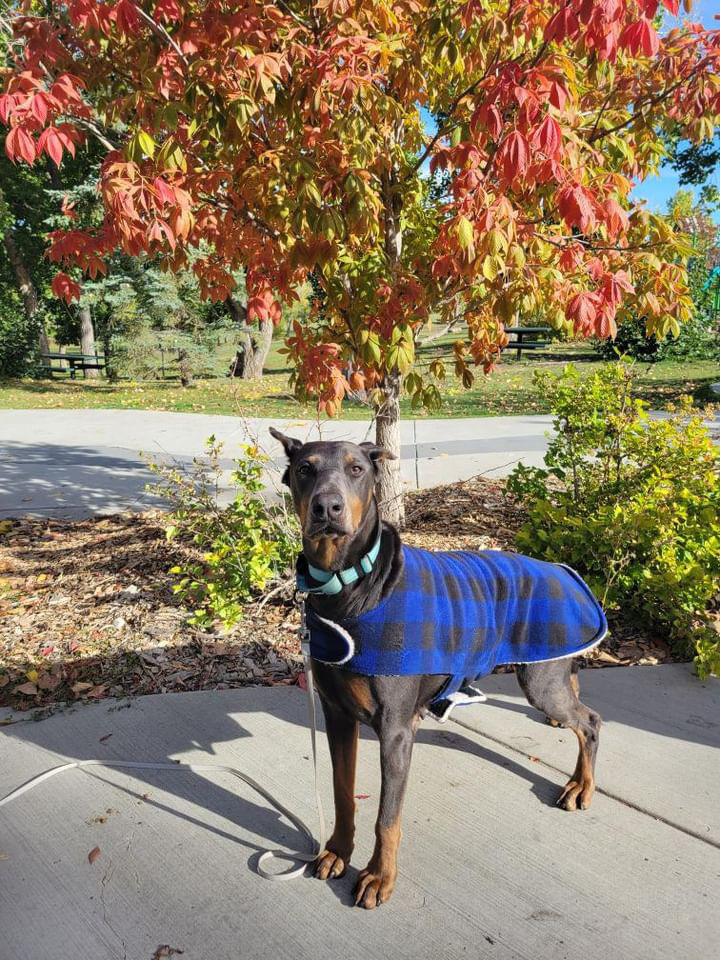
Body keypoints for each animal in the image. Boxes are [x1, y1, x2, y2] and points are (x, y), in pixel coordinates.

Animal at [272, 432, 604, 912]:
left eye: (357, 468)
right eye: (304, 468)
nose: (327, 508)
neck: (348, 584)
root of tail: (563, 570)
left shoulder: (394, 730)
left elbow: (387, 816)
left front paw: (379, 876)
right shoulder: (336, 713)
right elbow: (342, 792)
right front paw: (337, 850)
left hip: (540, 681)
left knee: (591, 721)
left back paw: (581, 785)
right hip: (547, 671)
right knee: (574, 694)